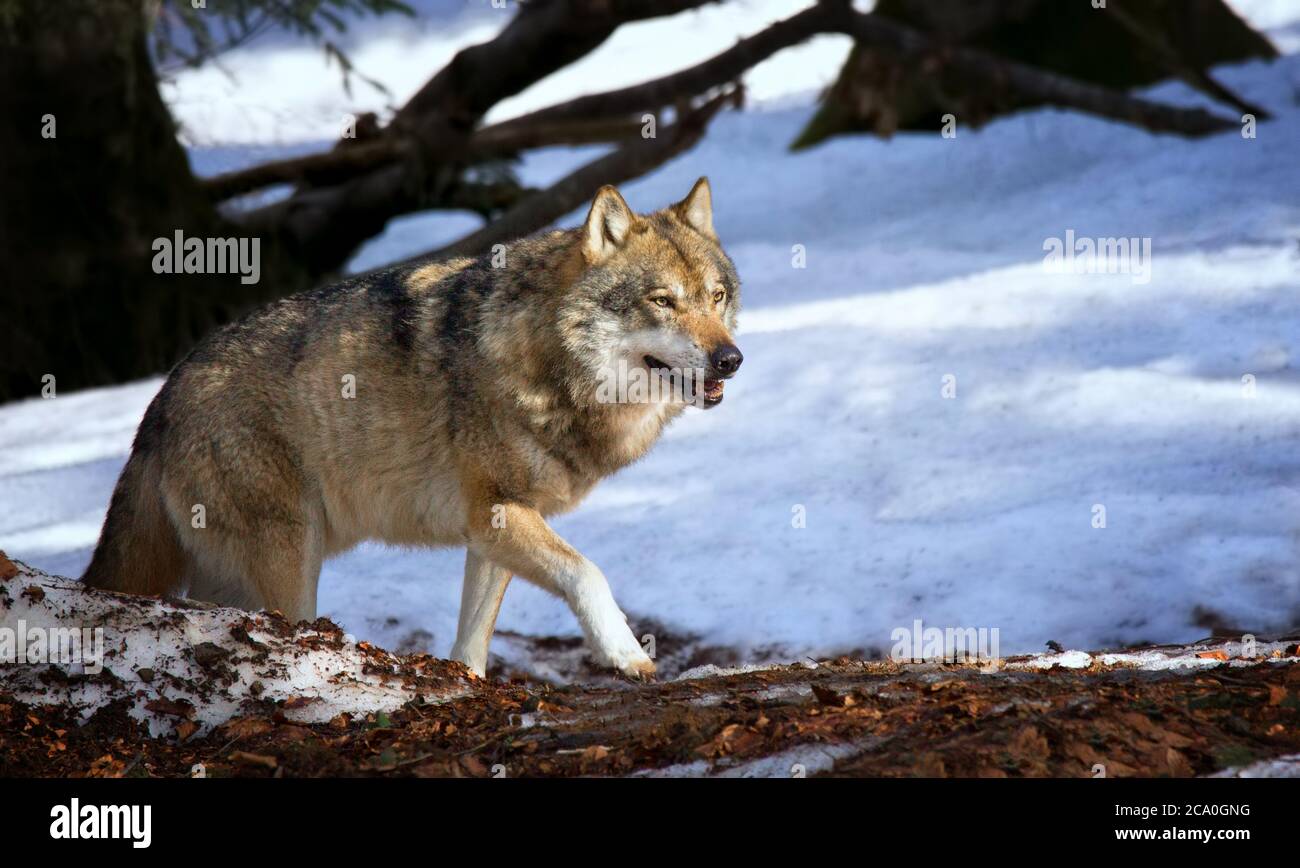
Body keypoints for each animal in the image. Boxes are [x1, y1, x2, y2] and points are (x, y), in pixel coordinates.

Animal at [83, 176, 743, 675]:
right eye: (663, 301)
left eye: (715, 297)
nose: (730, 359)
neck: (544, 358)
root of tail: (162, 397)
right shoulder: (498, 512)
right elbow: (589, 573)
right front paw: (626, 653)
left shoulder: (492, 531)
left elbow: (473, 638)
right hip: (293, 561)